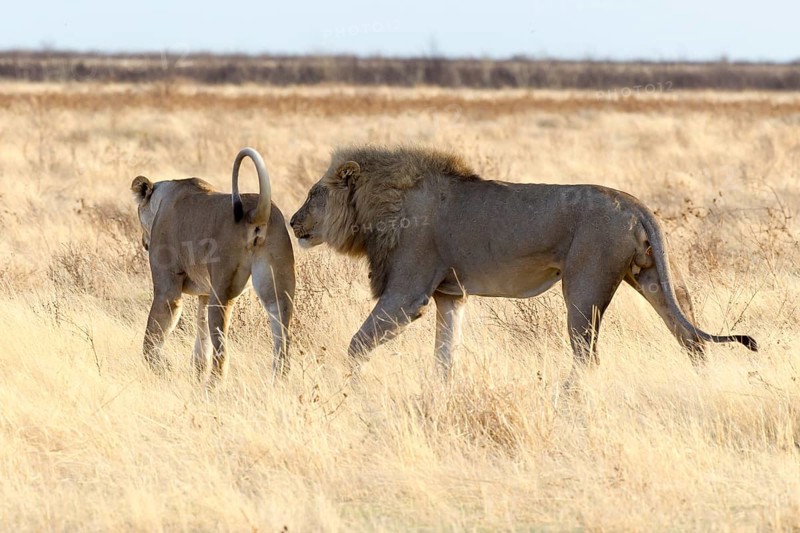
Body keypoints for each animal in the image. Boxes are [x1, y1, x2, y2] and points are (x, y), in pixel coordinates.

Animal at [131, 147, 295, 386]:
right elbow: (201, 341)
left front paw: (164, 369)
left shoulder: (168, 289)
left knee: (222, 347)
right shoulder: (204, 293)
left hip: (223, 290)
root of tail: (255, 212)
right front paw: (195, 373)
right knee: (281, 333)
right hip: (277, 287)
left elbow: (151, 339)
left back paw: (213, 385)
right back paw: (277, 381)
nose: (144, 242)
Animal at [290, 145, 757, 377]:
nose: (293, 222)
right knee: (690, 337)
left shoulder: (408, 292)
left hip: (584, 287)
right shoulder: (450, 296)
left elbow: (356, 345)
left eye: (314, 193)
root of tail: (634, 204)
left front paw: (348, 387)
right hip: (653, 279)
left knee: (588, 357)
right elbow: (445, 356)